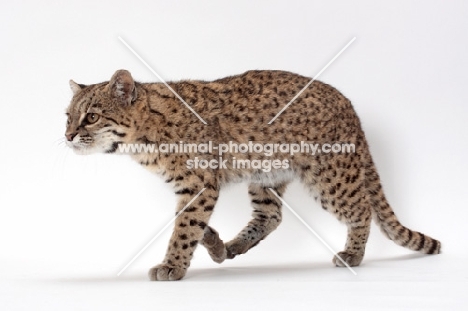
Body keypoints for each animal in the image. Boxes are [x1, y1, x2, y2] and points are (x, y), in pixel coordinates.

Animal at [64, 69, 440, 282]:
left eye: (92, 117)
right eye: (67, 116)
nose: (67, 136)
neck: (142, 142)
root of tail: (348, 104)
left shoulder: (199, 185)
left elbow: (185, 227)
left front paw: (173, 265)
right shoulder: (191, 187)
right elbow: (189, 223)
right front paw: (207, 242)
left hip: (330, 177)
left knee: (361, 207)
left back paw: (353, 255)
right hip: (266, 177)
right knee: (271, 215)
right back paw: (227, 248)